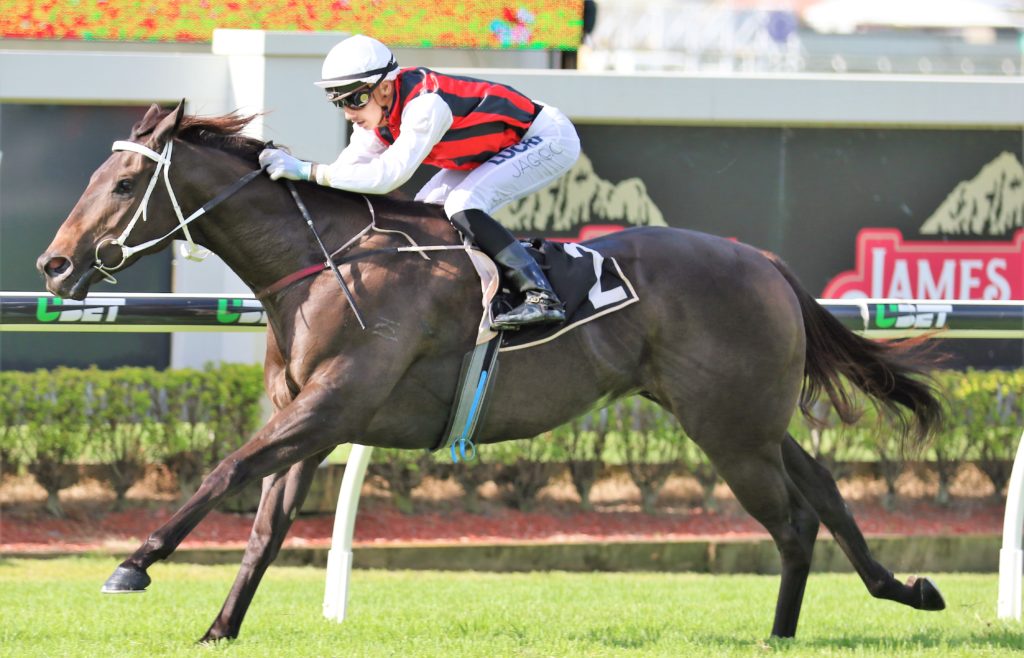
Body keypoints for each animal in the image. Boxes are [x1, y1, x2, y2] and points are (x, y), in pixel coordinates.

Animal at [37, 102, 946, 643]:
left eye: (124, 181)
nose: (54, 266)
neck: (324, 263)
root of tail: (764, 261)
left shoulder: (332, 406)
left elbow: (222, 470)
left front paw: (134, 564)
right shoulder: (312, 420)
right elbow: (265, 528)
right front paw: (219, 628)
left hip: (730, 430)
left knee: (792, 520)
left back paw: (786, 633)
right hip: (748, 420)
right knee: (823, 490)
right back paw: (901, 591)